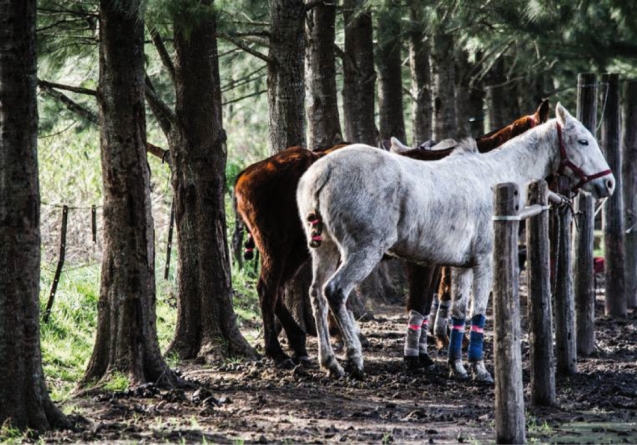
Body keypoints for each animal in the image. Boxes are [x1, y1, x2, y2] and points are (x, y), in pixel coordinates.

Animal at [234, 100, 548, 368]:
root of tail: (244, 177)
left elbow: (435, 296)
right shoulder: (426, 261)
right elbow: (423, 300)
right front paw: (421, 353)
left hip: (299, 250)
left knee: (281, 290)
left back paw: (300, 343)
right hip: (278, 248)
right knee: (268, 289)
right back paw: (278, 350)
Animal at [298, 104, 616, 378]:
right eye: (583, 141)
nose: (609, 183)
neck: (498, 176)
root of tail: (323, 171)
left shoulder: (462, 266)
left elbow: (459, 313)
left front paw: (458, 367)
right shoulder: (485, 262)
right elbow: (478, 314)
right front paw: (480, 369)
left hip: (325, 250)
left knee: (316, 295)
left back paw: (330, 363)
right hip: (364, 251)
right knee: (335, 291)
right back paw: (354, 358)